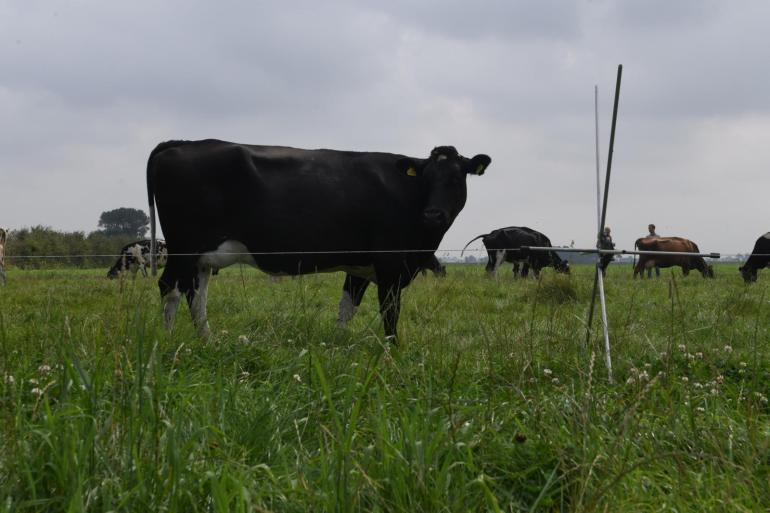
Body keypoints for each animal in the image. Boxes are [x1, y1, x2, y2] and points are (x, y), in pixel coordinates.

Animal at [147, 140, 488, 340]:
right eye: (427, 178)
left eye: (456, 178)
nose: (433, 214)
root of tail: (184, 143)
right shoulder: (391, 264)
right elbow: (390, 313)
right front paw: (392, 354)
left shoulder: (360, 266)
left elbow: (347, 307)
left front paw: (338, 346)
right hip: (183, 247)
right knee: (170, 288)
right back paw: (166, 341)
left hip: (201, 257)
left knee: (196, 295)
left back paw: (207, 341)